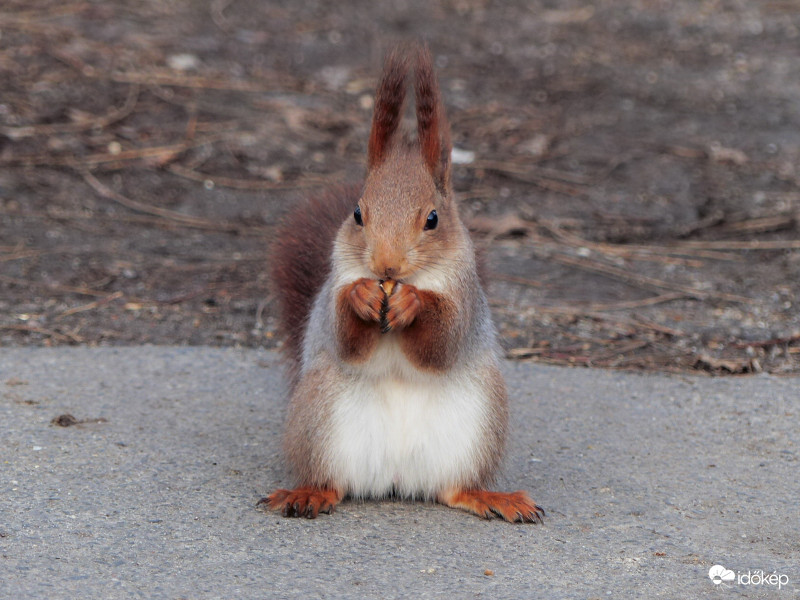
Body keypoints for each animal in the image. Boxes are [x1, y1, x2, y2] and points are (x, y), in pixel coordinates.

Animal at [260, 42, 544, 524]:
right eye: (357, 213)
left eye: (432, 219)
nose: (386, 266)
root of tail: (395, 479)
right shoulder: (333, 285)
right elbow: (345, 338)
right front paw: (360, 295)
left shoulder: (466, 297)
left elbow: (441, 343)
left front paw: (414, 302)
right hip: (319, 415)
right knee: (334, 482)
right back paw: (309, 493)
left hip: (478, 424)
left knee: (454, 488)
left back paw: (489, 497)